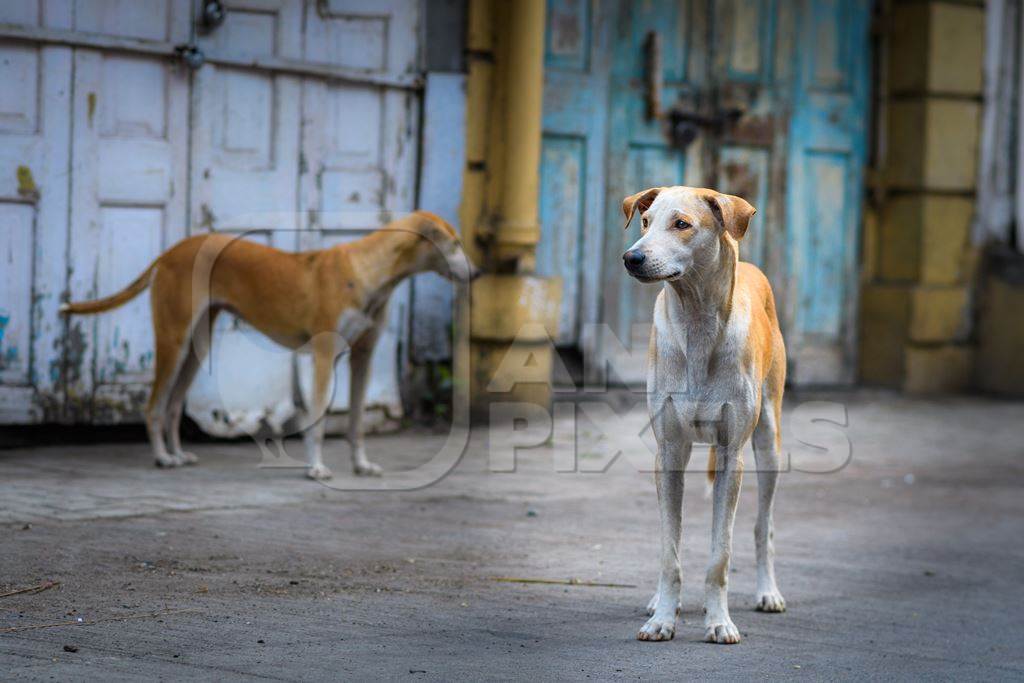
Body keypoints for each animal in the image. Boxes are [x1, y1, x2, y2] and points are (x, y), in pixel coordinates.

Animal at [61, 211, 477, 481]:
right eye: (454, 244)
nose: (478, 273)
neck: (370, 271)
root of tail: (171, 251)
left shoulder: (363, 357)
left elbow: (357, 420)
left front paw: (361, 466)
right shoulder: (324, 357)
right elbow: (319, 420)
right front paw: (316, 468)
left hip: (197, 345)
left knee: (175, 404)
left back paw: (177, 454)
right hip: (174, 340)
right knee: (154, 405)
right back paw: (163, 457)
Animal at [618, 184, 786, 643]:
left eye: (682, 224)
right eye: (644, 222)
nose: (631, 257)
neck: (695, 321)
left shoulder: (732, 456)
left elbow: (720, 554)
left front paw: (719, 622)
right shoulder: (669, 451)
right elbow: (669, 548)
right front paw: (662, 618)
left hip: (769, 443)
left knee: (763, 526)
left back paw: (768, 592)